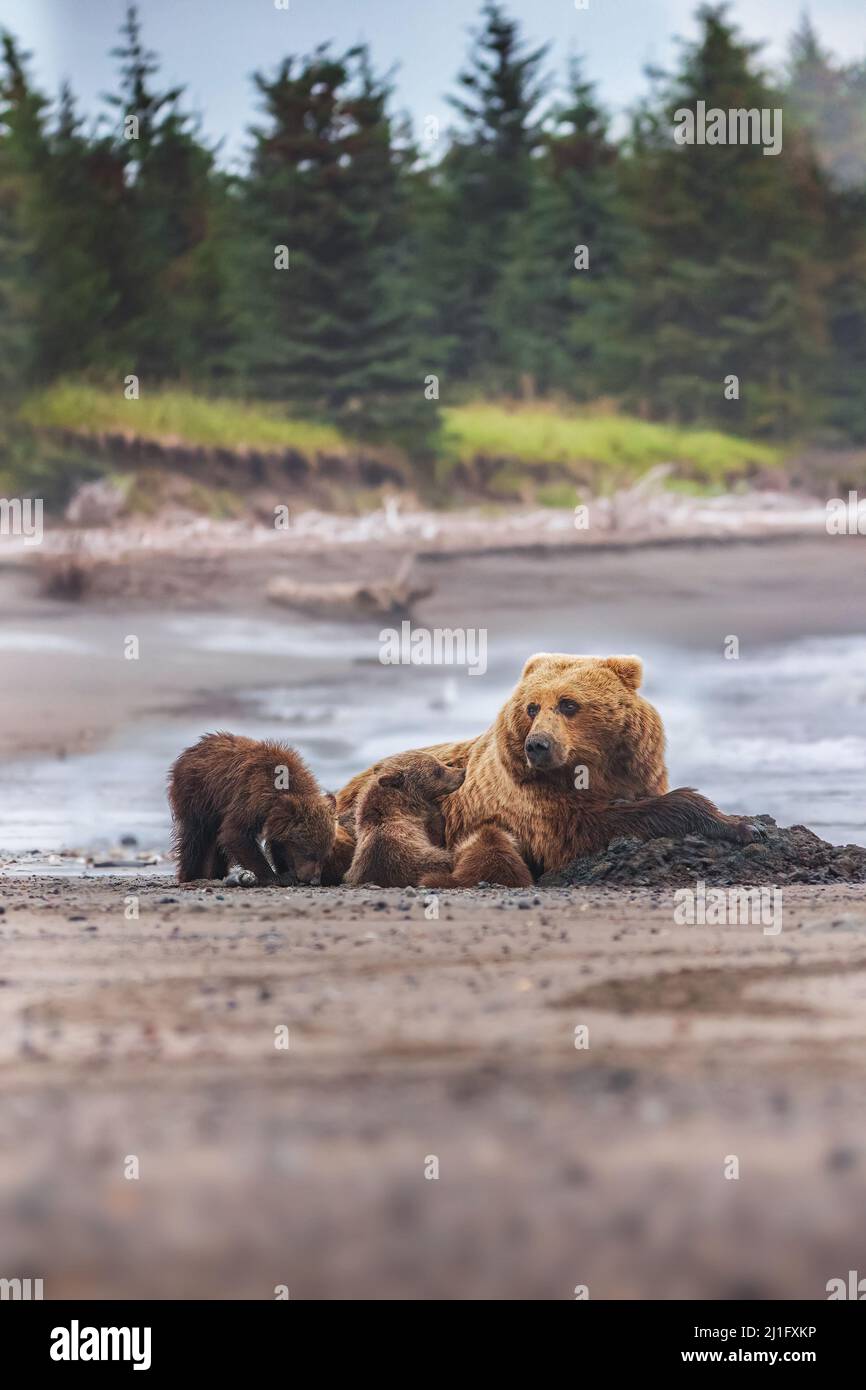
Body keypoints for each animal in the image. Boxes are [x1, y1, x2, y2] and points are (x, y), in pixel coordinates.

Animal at [167, 733, 337, 884]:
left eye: (324, 855)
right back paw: (190, 875)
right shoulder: (251, 795)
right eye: (309, 852)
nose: (314, 880)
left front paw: (286, 871)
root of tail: (190, 751)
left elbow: (279, 843)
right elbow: (235, 833)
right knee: (195, 838)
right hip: (198, 795)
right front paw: (275, 877)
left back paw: (217, 873)